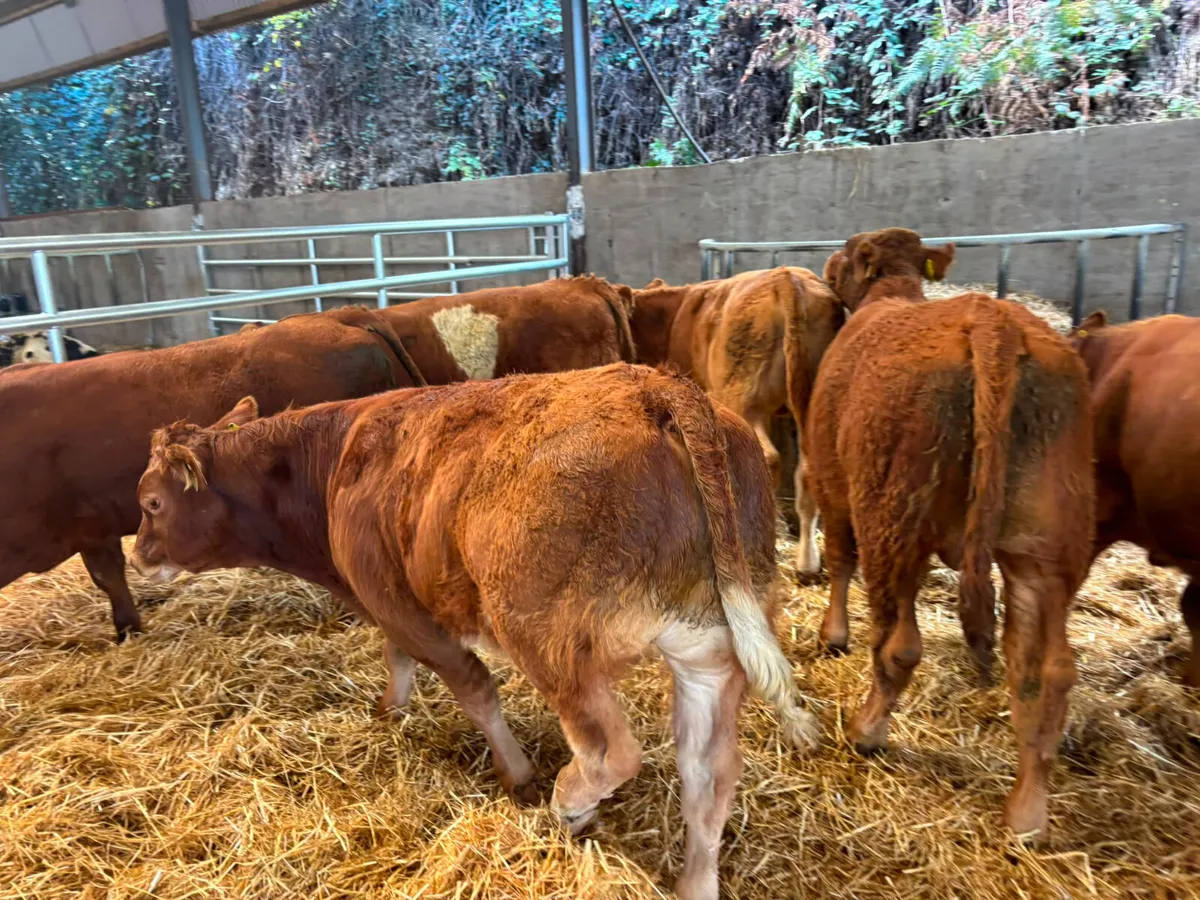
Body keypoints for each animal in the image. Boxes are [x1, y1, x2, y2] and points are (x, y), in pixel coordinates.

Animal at [131, 364, 818, 900]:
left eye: (151, 503)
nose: (138, 556)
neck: (332, 461)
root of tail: (657, 386)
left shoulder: (404, 606)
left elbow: (472, 686)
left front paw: (516, 775)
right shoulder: (392, 599)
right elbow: (397, 658)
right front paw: (391, 708)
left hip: (551, 641)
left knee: (610, 751)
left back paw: (568, 803)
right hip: (708, 652)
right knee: (709, 775)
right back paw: (694, 880)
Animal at [807, 228, 1094, 835]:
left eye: (849, 250)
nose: (828, 265)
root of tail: (995, 323)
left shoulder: (831, 478)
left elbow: (839, 559)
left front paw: (832, 635)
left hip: (893, 519)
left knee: (899, 644)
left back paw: (867, 730)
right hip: (1045, 549)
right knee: (1047, 669)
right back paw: (1027, 811)